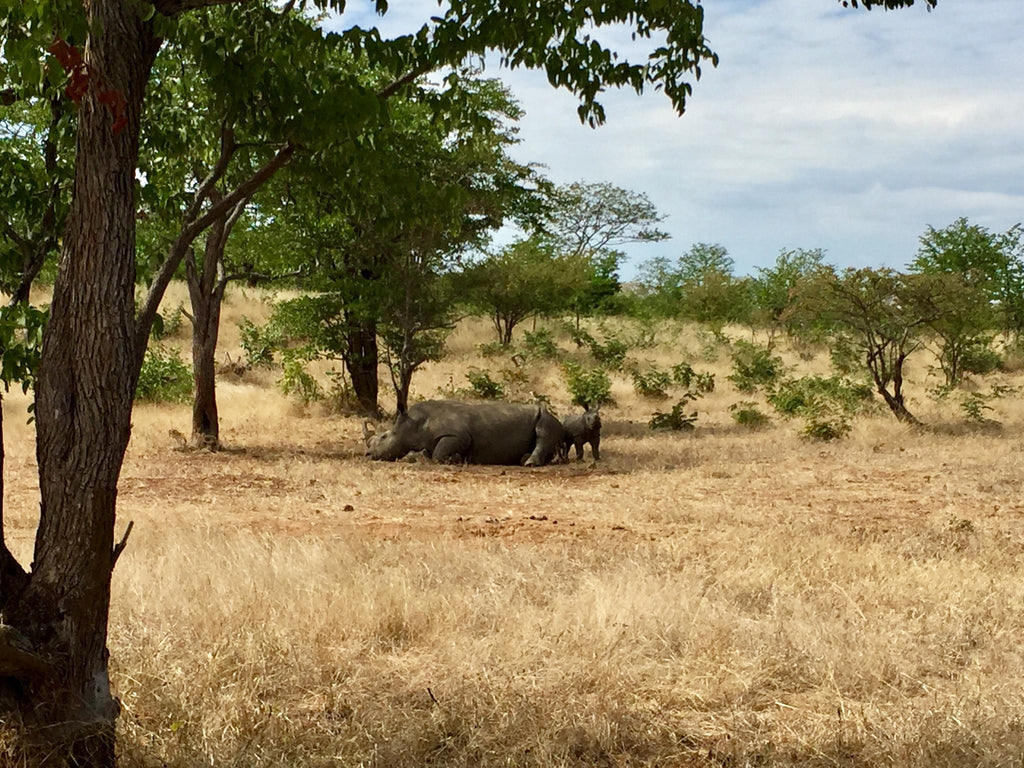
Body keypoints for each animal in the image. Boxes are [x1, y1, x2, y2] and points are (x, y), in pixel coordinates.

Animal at [364, 400, 565, 466]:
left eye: (384, 436)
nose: (368, 454)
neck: (414, 422)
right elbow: (431, 453)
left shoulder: (458, 435)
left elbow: (438, 454)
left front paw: (456, 459)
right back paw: (523, 459)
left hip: (547, 417)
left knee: (543, 432)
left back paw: (529, 464)